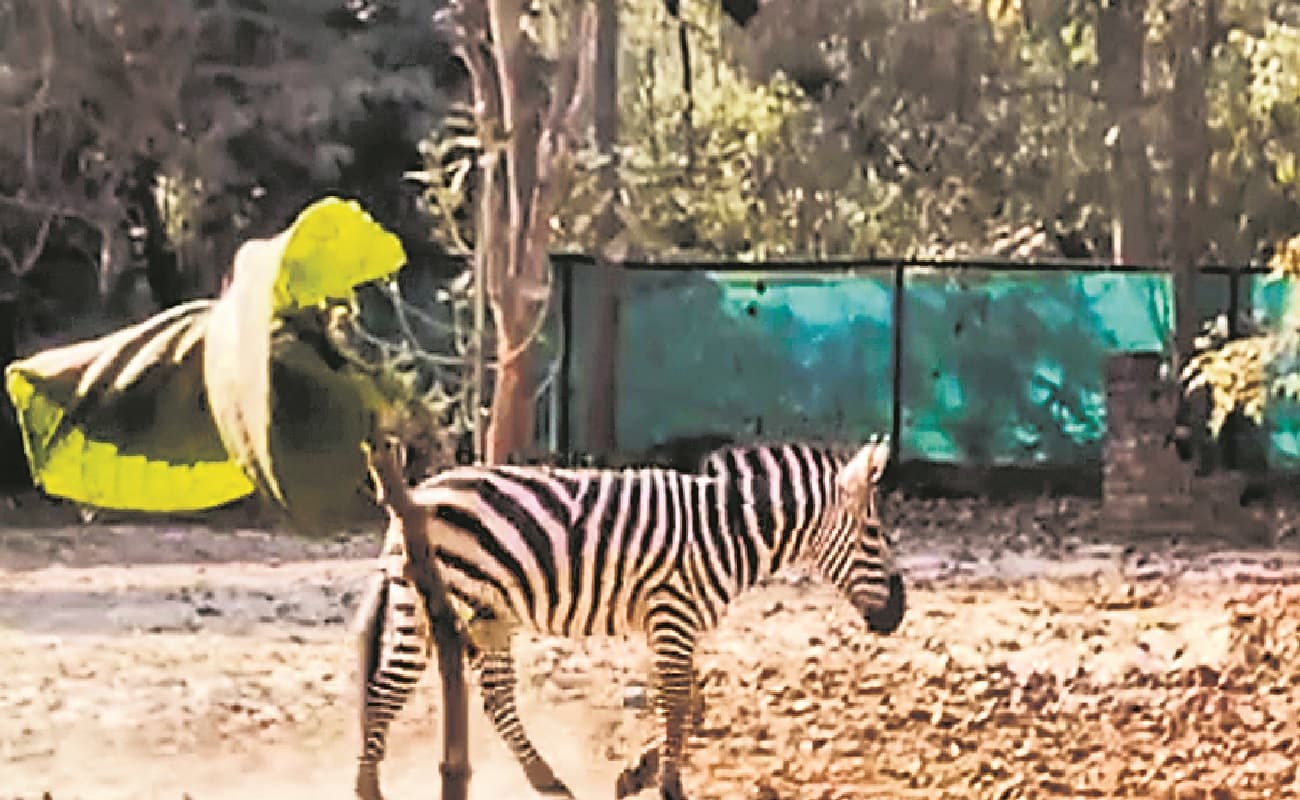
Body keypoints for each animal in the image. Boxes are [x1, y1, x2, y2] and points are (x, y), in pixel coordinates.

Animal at [354, 438, 906, 800]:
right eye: (875, 534)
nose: (898, 615)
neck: (730, 532)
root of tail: (415, 497)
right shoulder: (673, 613)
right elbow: (678, 702)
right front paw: (669, 785)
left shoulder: (670, 620)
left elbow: (691, 702)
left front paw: (638, 773)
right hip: (436, 604)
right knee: (385, 691)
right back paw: (368, 789)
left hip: (489, 613)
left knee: (496, 698)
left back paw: (548, 782)